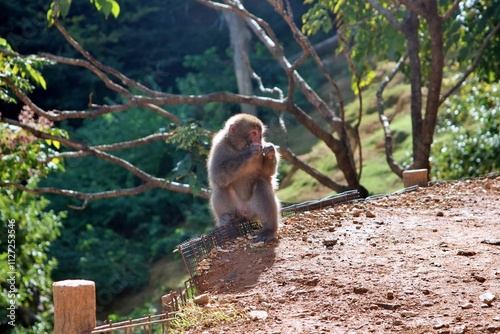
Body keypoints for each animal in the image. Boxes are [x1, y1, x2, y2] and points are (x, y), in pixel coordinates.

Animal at [205, 113, 280, 241]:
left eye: (259, 134)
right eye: (254, 133)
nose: (258, 140)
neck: (237, 148)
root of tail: (245, 212)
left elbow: (266, 174)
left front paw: (270, 150)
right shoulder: (218, 147)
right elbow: (217, 175)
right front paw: (250, 152)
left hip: (254, 210)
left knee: (261, 183)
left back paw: (269, 230)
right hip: (236, 211)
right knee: (221, 186)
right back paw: (225, 218)